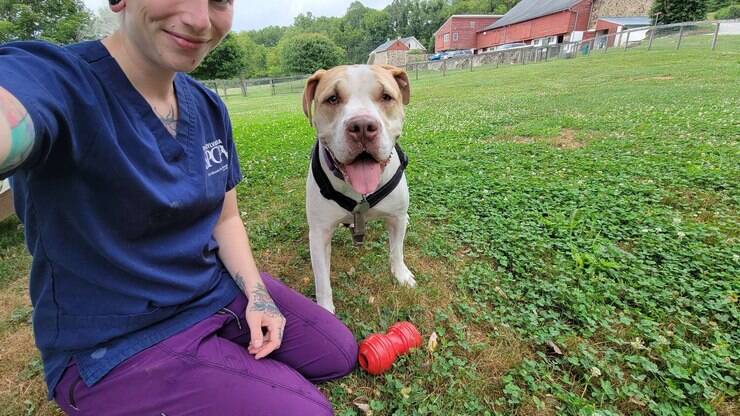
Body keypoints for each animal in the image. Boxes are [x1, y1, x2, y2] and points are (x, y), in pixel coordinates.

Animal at [302, 64, 416, 312]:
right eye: (333, 98)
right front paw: (325, 310)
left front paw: (401, 275)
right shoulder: (319, 234)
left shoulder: (395, 218)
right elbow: (322, 280)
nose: (362, 126)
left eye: (386, 97)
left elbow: (397, 250)